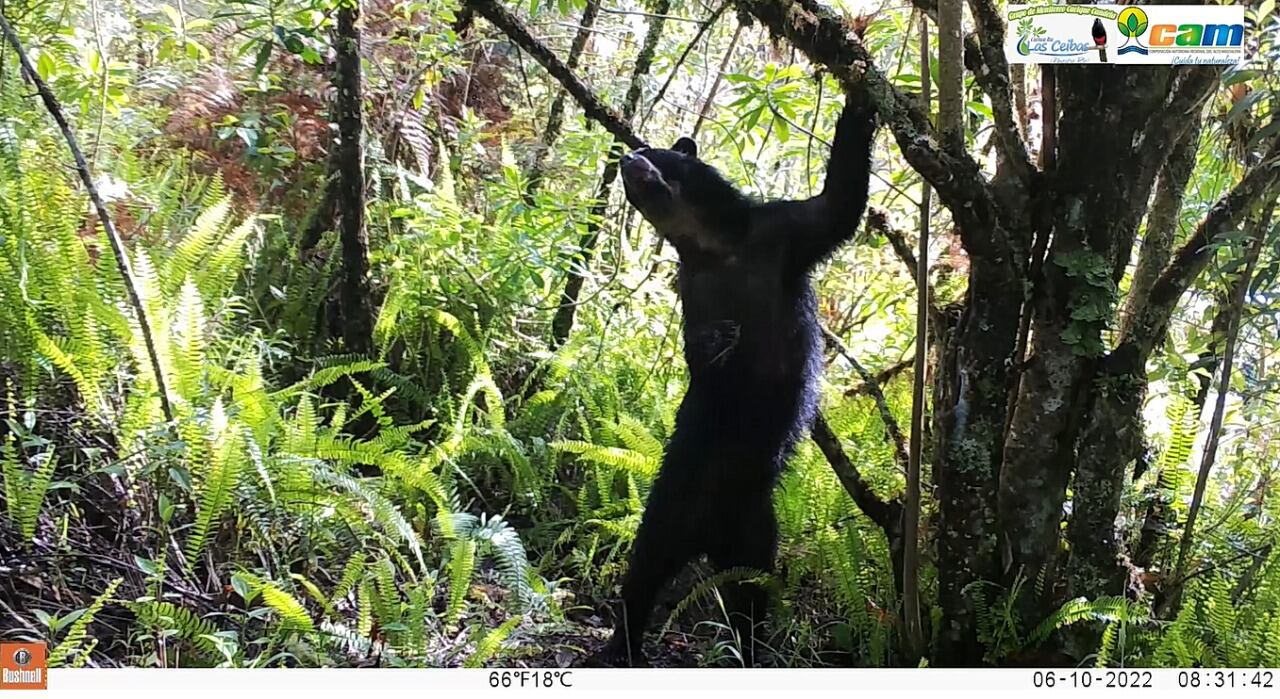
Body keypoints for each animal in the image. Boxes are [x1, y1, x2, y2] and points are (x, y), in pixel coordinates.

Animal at [595, 92, 878, 667]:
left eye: (654, 151)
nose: (626, 159)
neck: (715, 246)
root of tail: (709, 535)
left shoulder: (784, 235)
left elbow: (837, 204)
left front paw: (860, 102)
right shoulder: (695, 289)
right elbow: (698, 353)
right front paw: (717, 345)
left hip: (756, 535)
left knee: (751, 595)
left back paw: (748, 649)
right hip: (668, 509)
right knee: (643, 573)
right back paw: (621, 644)